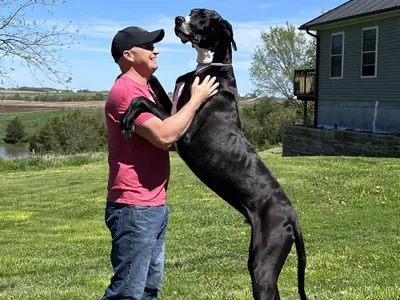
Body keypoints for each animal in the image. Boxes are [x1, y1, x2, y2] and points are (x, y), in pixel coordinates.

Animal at [119, 8, 306, 300]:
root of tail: (292, 216)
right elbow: (154, 88)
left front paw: (128, 120)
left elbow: (143, 100)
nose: (177, 19)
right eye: (191, 12)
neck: (209, 67)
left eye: (204, 17)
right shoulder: (174, 112)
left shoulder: (181, 134)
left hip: (263, 262)